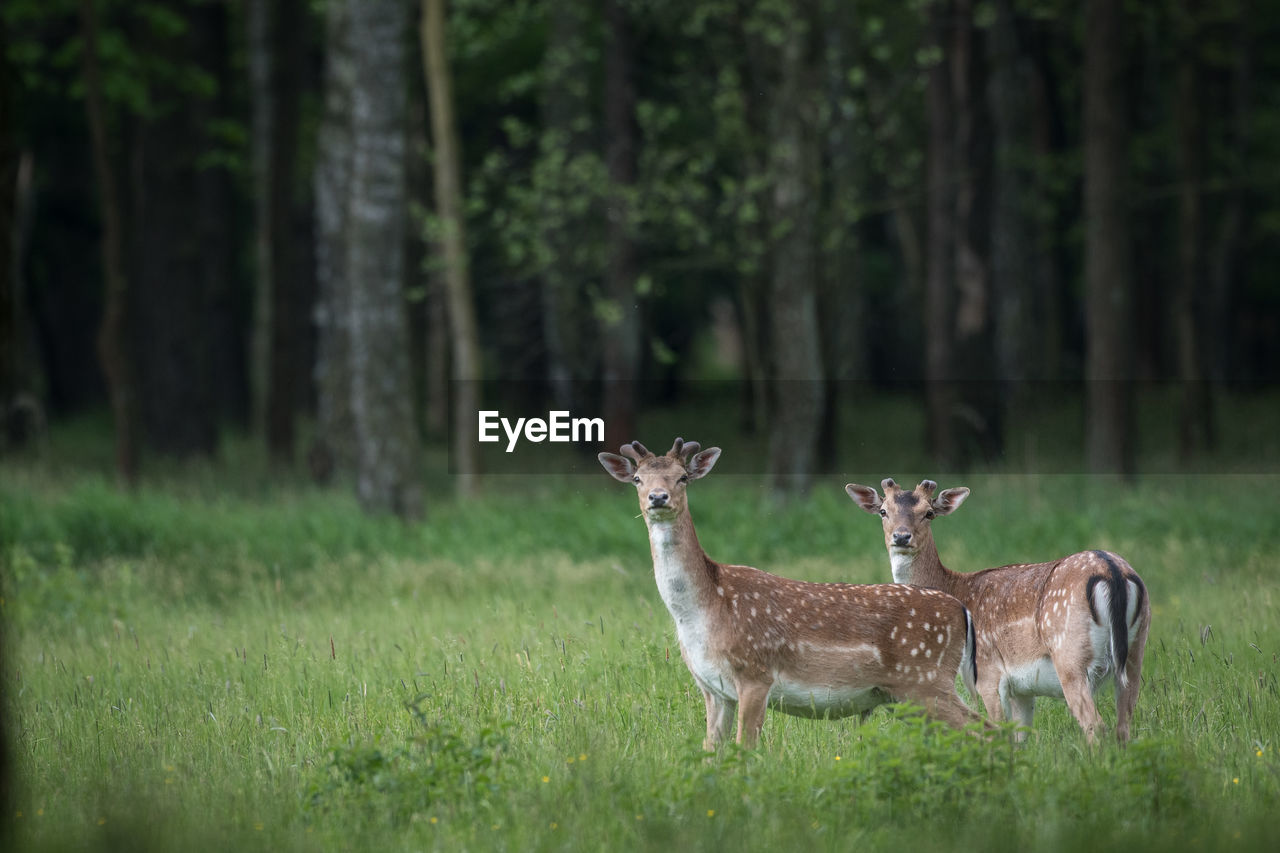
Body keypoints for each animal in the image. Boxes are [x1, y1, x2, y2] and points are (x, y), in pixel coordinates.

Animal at [599, 438, 977, 742]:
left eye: (683, 477)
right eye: (637, 478)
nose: (657, 497)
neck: (704, 610)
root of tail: (960, 609)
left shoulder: (755, 674)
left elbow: (744, 749)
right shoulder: (712, 689)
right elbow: (711, 752)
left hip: (926, 679)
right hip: (910, 694)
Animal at [844, 473, 1157, 742]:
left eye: (929, 512)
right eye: (883, 511)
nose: (901, 536)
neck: (955, 587)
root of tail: (1112, 571)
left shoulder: (988, 672)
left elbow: (998, 729)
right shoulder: (1023, 688)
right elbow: (1020, 737)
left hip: (1070, 655)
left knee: (1096, 726)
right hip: (1136, 650)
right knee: (1123, 725)